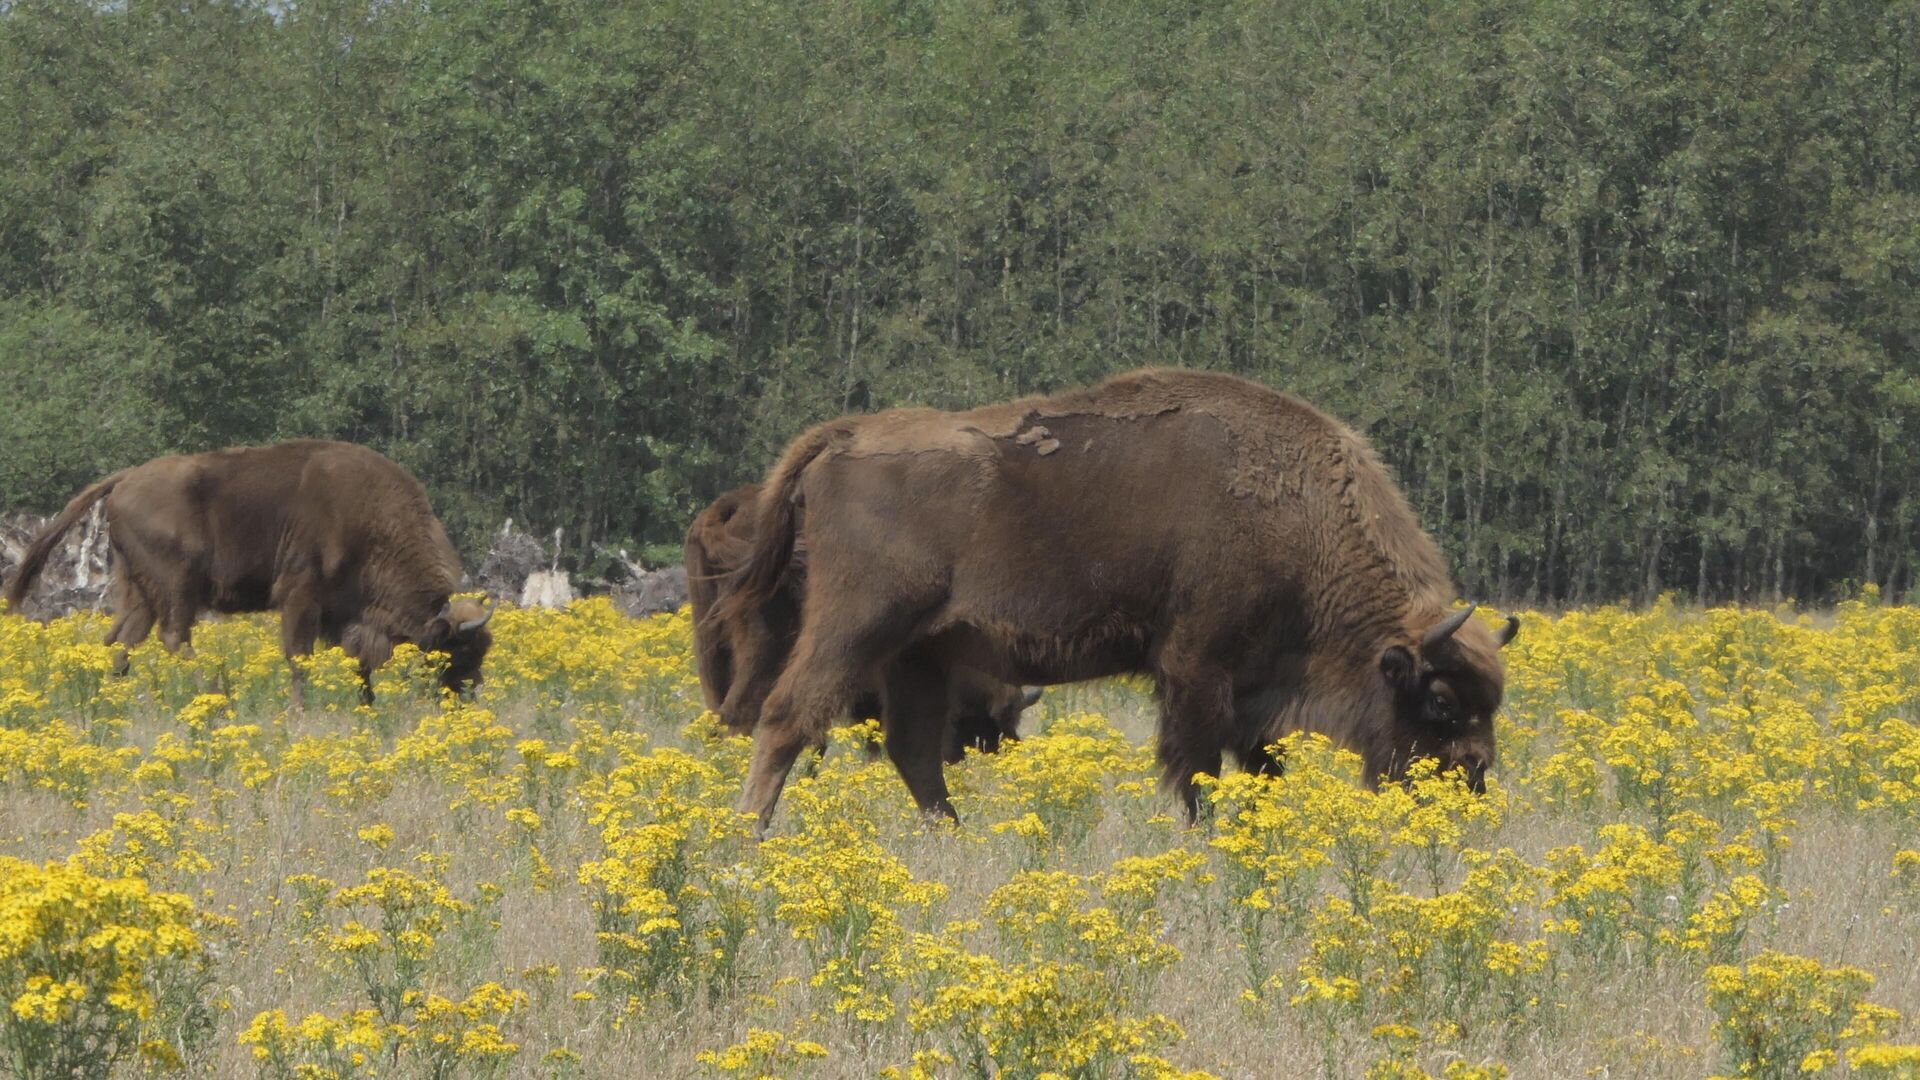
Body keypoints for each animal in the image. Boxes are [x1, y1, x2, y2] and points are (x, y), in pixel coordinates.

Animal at [3, 440, 495, 707]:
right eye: (456, 650)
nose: (469, 693)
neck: (372, 519)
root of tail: (126, 479)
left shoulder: (343, 614)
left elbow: (356, 662)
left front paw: (365, 705)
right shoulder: (300, 595)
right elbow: (299, 657)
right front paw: (301, 709)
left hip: (138, 588)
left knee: (122, 640)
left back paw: (112, 700)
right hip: (178, 584)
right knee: (172, 636)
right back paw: (217, 698)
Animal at [679, 478, 1036, 757]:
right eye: (992, 716)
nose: (1002, 747)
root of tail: (728, 507)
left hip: (711, 641)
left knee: (717, 712)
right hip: (765, 649)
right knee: (739, 712)